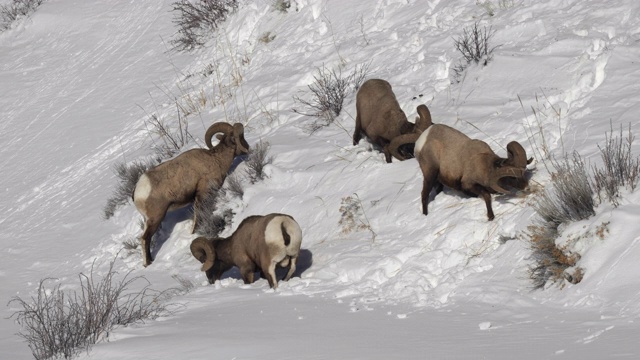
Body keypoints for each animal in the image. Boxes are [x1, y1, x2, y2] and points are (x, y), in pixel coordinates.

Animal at [133, 122, 250, 266]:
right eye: (241, 136)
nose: (248, 148)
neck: (215, 159)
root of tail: (137, 192)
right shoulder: (202, 194)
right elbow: (198, 215)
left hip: (147, 220)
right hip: (155, 218)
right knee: (145, 239)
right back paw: (149, 262)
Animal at [398, 121, 532, 219]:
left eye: (523, 172)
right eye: (512, 177)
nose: (527, 188)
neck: (484, 163)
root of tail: (420, 142)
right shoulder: (468, 184)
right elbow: (486, 195)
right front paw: (491, 217)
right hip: (430, 174)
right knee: (424, 195)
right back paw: (426, 215)